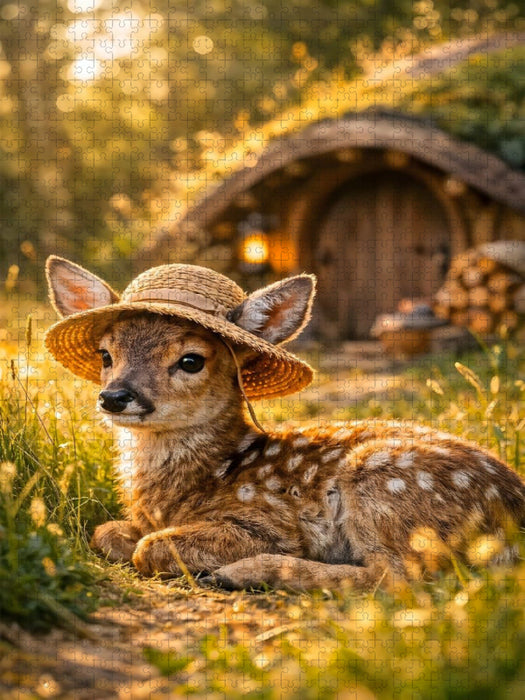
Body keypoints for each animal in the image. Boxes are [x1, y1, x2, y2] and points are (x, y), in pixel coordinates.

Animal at [45, 256, 525, 592]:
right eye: (105, 354)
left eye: (191, 360)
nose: (115, 396)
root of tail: (513, 522)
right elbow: (105, 532)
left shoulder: (269, 523)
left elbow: (150, 547)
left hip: (382, 485)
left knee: (398, 578)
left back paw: (240, 573)